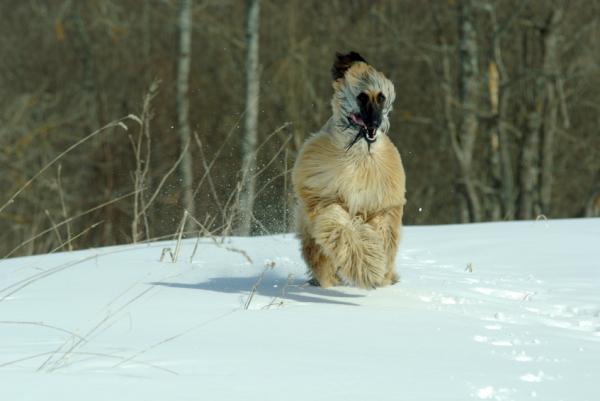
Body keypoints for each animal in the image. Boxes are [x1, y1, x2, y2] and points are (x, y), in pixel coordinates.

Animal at [292, 51, 408, 288]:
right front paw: (368, 267)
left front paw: (378, 267)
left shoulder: (382, 203)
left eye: (381, 97)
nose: (375, 123)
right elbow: (339, 226)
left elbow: (382, 232)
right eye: (362, 97)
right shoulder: (323, 194)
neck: (360, 155)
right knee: (317, 254)